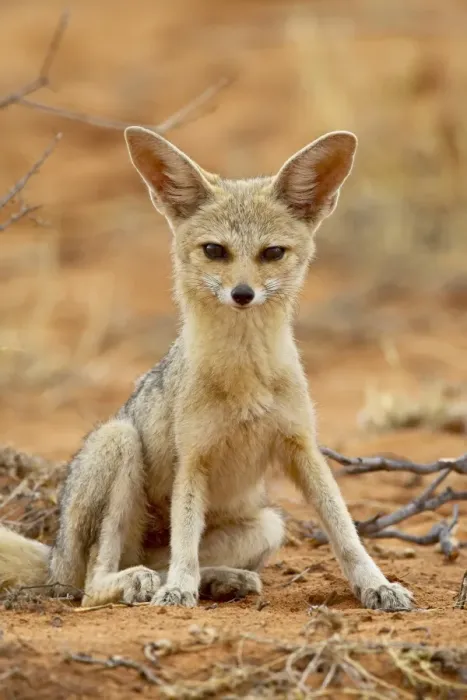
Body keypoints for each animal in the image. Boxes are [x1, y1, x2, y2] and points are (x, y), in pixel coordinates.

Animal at [0, 127, 413, 611]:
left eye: (272, 253)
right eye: (215, 250)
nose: (242, 294)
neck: (245, 375)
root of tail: (52, 559)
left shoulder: (302, 448)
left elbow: (345, 532)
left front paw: (377, 584)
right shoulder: (194, 459)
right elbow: (185, 540)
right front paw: (178, 591)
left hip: (267, 525)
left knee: (167, 564)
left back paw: (222, 580)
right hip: (119, 444)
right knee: (92, 585)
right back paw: (143, 583)